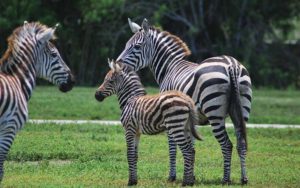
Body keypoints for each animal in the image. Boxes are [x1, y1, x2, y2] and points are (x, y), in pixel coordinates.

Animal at [116, 18, 252, 185]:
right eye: (125, 45)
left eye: (137, 46)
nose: (117, 65)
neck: (169, 68)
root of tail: (231, 65)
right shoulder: (190, 120)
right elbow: (191, 144)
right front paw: (190, 176)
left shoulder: (169, 115)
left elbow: (172, 147)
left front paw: (172, 176)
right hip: (242, 110)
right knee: (241, 143)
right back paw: (244, 178)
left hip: (214, 112)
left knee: (227, 145)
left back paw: (225, 179)